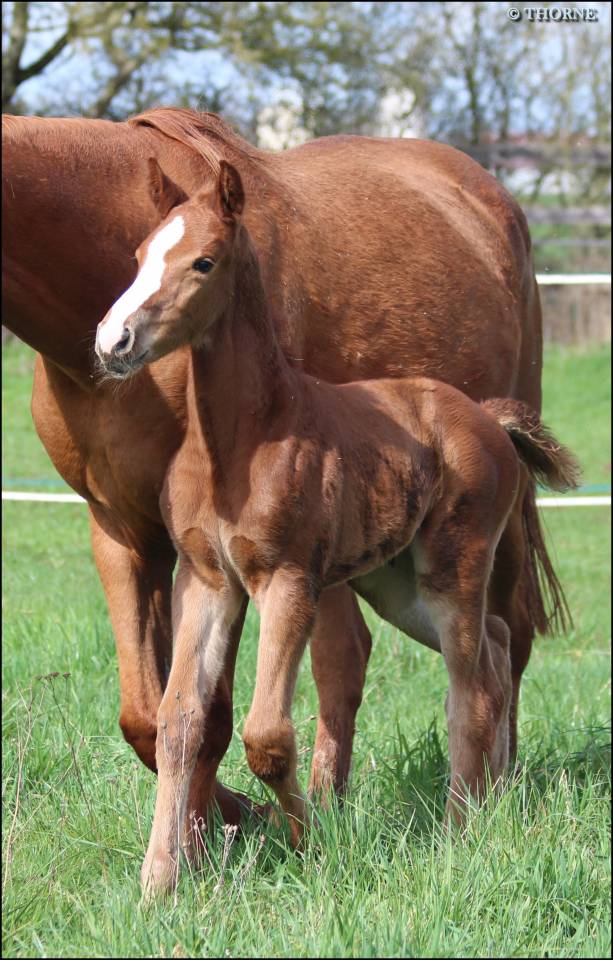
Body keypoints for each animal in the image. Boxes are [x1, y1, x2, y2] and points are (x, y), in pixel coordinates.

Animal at [2, 107, 562, 834]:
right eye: (136, 258)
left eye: (201, 261)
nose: (113, 342)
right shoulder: (124, 529)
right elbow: (150, 717)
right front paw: (218, 825)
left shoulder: (254, 556)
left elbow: (214, 715)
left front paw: (235, 824)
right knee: (378, 655)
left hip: (481, 531)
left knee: (500, 640)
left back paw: (489, 791)